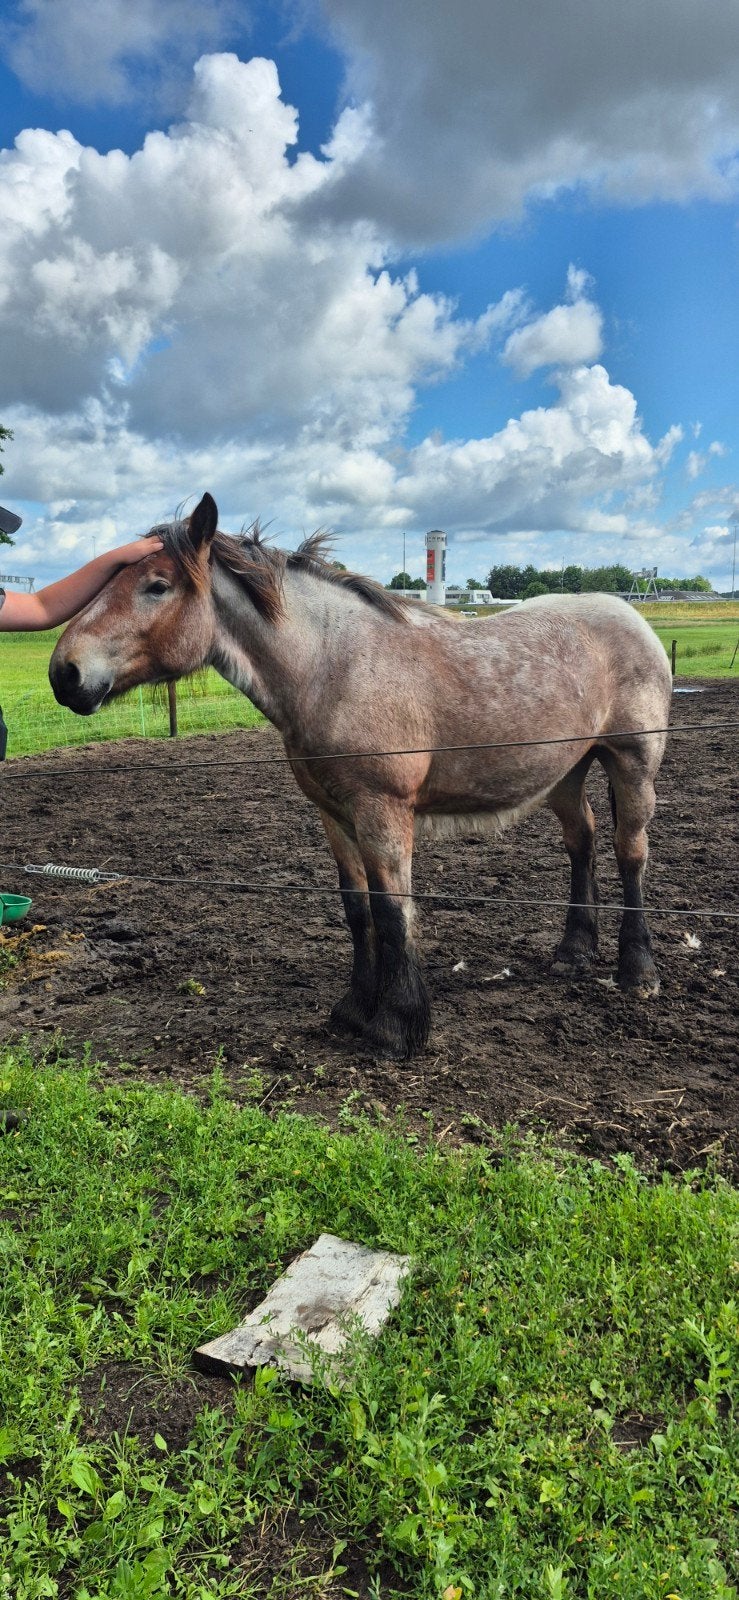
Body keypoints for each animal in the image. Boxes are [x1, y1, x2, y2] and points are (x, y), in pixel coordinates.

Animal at [49, 493, 672, 1059]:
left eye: (156, 585)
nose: (65, 672)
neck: (334, 666)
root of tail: (632, 617)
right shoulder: (334, 814)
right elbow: (359, 909)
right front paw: (354, 1009)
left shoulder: (382, 810)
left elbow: (394, 911)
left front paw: (397, 1026)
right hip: (565, 772)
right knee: (582, 841)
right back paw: (574, 951)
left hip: (632, 763)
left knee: (630, 852)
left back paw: (637, 971)